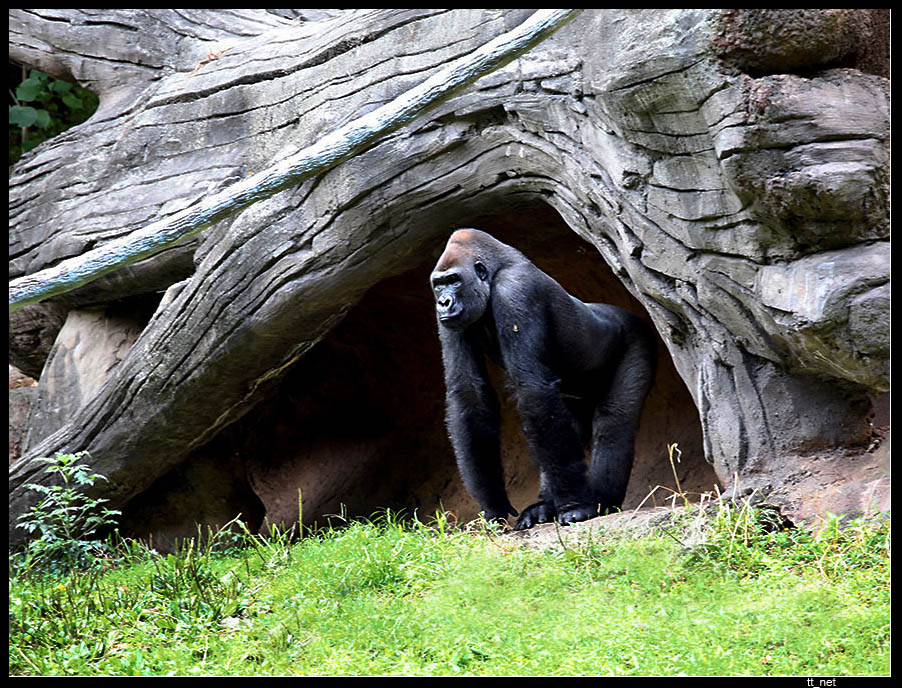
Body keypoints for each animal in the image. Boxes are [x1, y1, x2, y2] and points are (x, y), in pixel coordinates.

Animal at [430, 228, 656, 528]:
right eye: (438, 284)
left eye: (454, 281)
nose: (443, 302)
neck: (495, 271)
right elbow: (469, 394)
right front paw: (493, 505)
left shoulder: (516, 291)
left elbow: (532, 390)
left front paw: (575, 506)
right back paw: (545, 506)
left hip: (638, 339)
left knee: (614, 423)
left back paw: (600, 502)